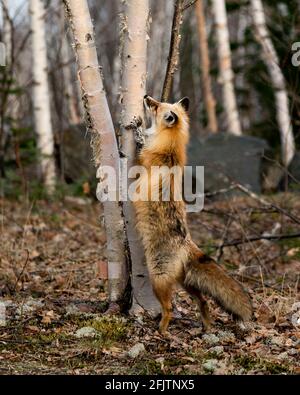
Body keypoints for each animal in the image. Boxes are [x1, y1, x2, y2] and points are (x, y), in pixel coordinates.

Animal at [132, 96, 252, 334]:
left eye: (156, 106)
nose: (147, 97)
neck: (169, 148)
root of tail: (186, 243)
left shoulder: (141, 163)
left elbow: (139, 152)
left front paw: (138, 132)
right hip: (186, 283)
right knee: (204, 302)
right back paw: (206, 328)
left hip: (158, 280)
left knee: (169, 308)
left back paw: (162, 331)